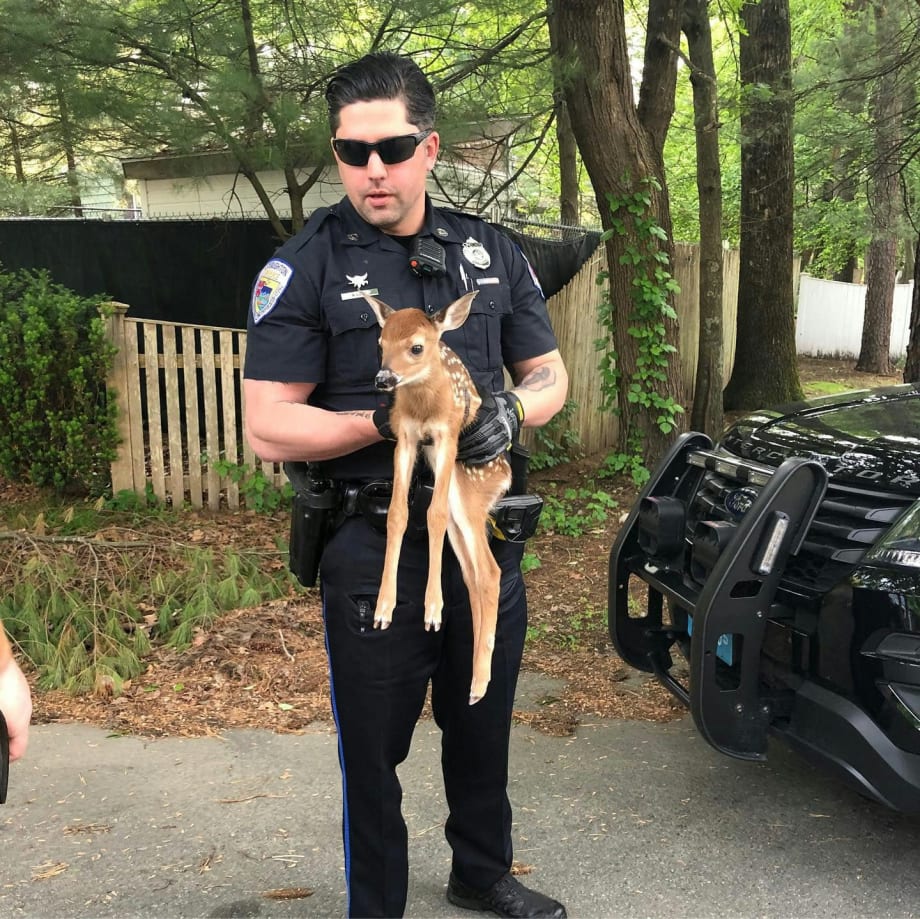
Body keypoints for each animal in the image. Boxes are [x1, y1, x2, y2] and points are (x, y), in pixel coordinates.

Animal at [365, 291, 511, 705]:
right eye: (380, 343)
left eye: (416, 347)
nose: (383, 378)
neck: (425, 403)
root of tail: (506, 478)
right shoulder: (406, 436)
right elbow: (397, 513)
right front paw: (383, 608)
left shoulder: (447, 435)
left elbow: (432, 514)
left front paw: (432, 610)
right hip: (465, 519)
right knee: (475, 575)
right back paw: (476, 681)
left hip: (469, 493)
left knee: (490, 572)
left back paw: (479, 683)